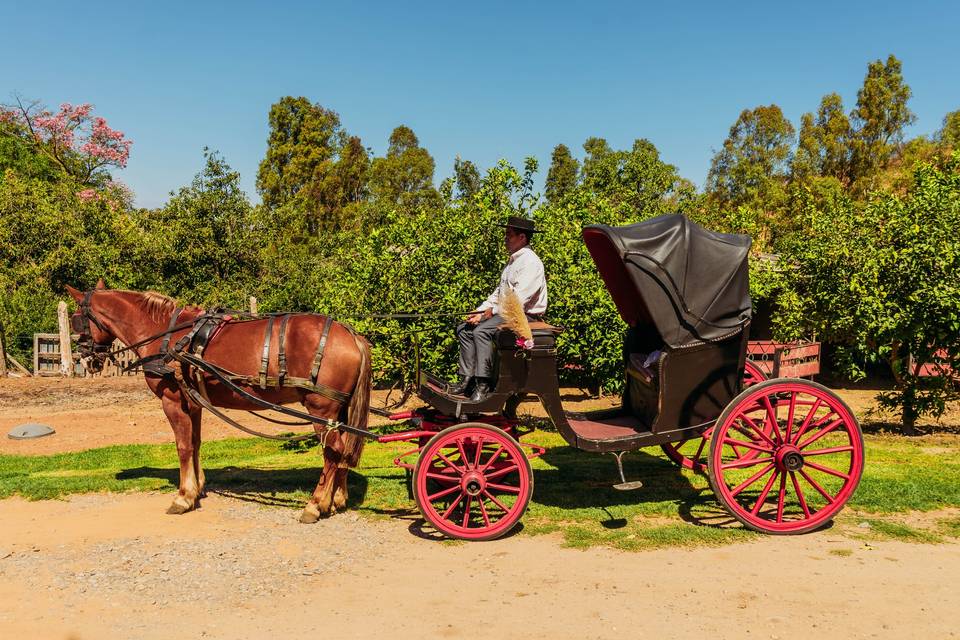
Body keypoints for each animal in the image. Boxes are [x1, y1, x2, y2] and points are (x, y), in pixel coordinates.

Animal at [64, 282, 372, 524]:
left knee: (333, 452)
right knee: (343, 450)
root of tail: (351, 335)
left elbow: (183, 446)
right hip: (339, 411)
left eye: (77, 319)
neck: (166, 335)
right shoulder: (193, 401)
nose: (85, 359)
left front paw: (183, 497)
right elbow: (196, 443)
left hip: (322, 409)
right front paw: (198, 487)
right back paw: (337, 498)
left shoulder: (172, 400)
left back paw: (316, 504)